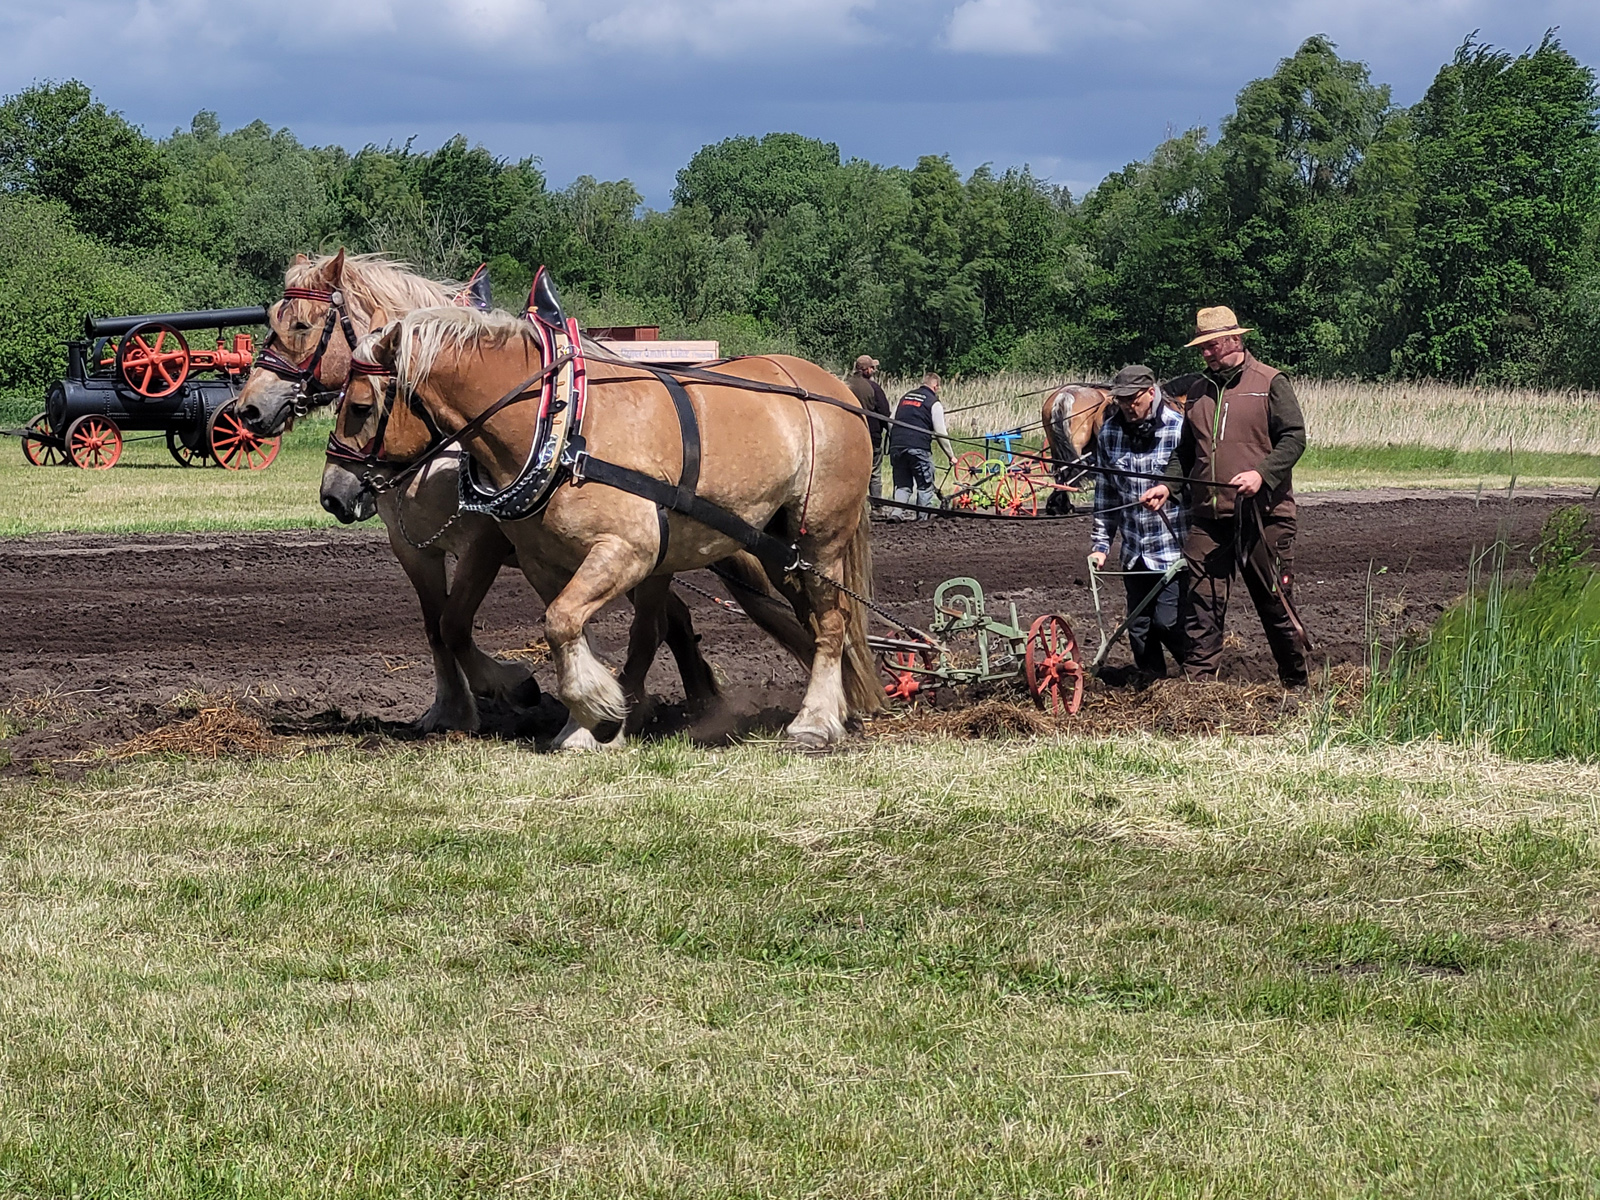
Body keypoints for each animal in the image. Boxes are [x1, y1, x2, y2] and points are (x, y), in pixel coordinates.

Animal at [363, 307, 883, 752]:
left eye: (362, 406)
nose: (353, 490)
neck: (563, 426)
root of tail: (838, 392)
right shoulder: (543, 561)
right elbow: (567, 628)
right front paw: (589, 722)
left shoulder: (626, 550)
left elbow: (555, 622)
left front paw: (595, 712)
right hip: (778, 547)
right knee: (804, 620)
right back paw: (839, 705)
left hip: (818, 539)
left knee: (831, 623)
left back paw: (814, 721)